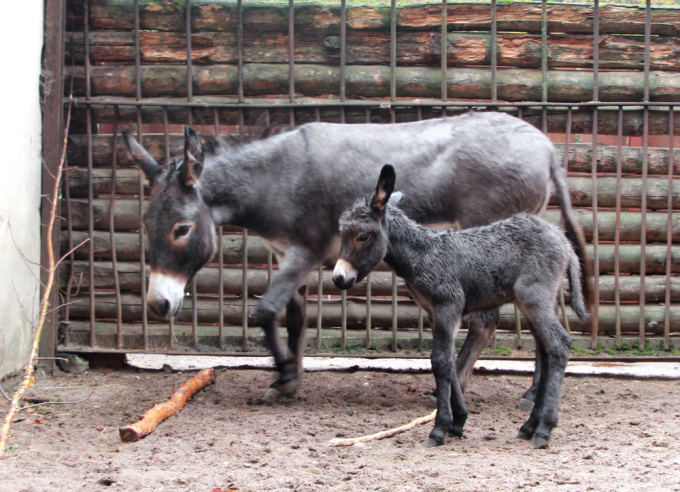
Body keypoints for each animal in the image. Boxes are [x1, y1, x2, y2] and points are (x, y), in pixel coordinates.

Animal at [334, 165, 588, 450]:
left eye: (362, 236)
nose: (339, 278)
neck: (422, 254)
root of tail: (564, 241)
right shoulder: (435, 313)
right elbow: (449, 361)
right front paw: (459, 421)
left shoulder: (448, 306)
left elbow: (441, 361)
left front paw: (440, 428)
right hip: (535, 304)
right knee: (545, 350)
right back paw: (529, 426)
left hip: (535, 299)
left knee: (559, 345)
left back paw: (544, 429)